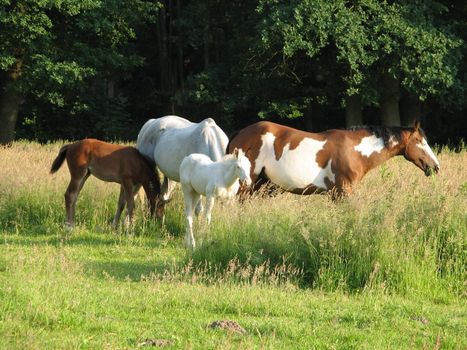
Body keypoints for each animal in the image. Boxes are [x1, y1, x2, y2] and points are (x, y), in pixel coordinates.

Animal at [229, 120, 440, 198]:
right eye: (420, 142)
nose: (435, 166)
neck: (355, 151)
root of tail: (239, 134)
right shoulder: (343, 192)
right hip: (246, 186)